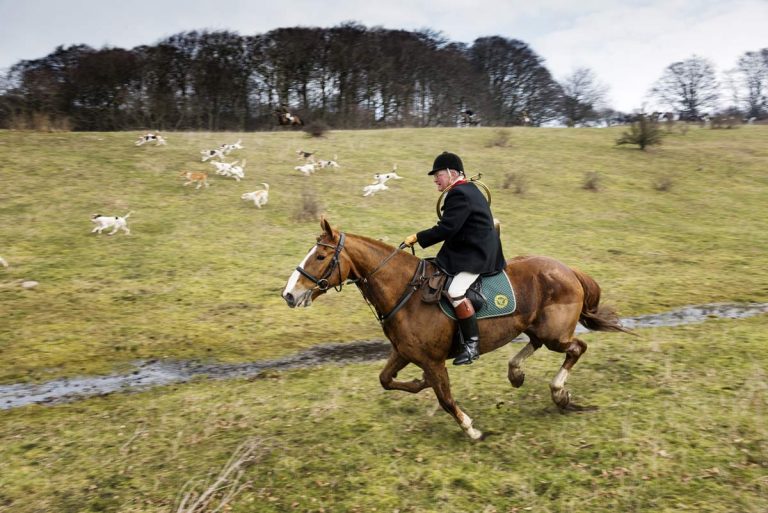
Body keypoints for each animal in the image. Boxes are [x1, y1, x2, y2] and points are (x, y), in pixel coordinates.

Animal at [282, 218, 632, 438]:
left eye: (321, 256)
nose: (289, 294)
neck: (405, 292)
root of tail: (568, 269)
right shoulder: (405, 353)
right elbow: (386, 380)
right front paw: (419, 383)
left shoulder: (434, 361)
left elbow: (446, 399)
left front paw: (471, 429)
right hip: (537, 328)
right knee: (536, 345)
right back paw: (516, 373)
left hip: (554, 334)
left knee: (576, 347)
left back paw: (558, 392)